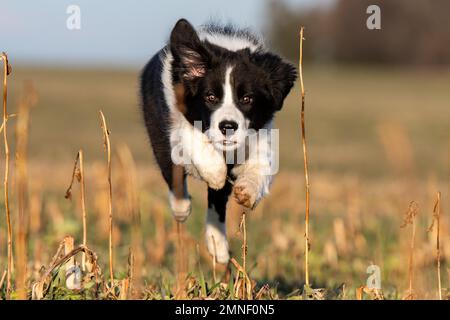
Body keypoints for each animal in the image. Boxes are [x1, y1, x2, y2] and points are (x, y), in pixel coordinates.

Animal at [140, 20, 296, 264]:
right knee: (174, 175)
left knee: (217, 201)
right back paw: (181, 208)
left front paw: (248, 189)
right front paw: (214, 171)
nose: (228, 126)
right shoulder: (176, 113)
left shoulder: (261, 133)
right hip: (158, 135)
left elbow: (262, 164)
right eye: (211, 97)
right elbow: (191, 136)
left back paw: (218, 245)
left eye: (247, 99)